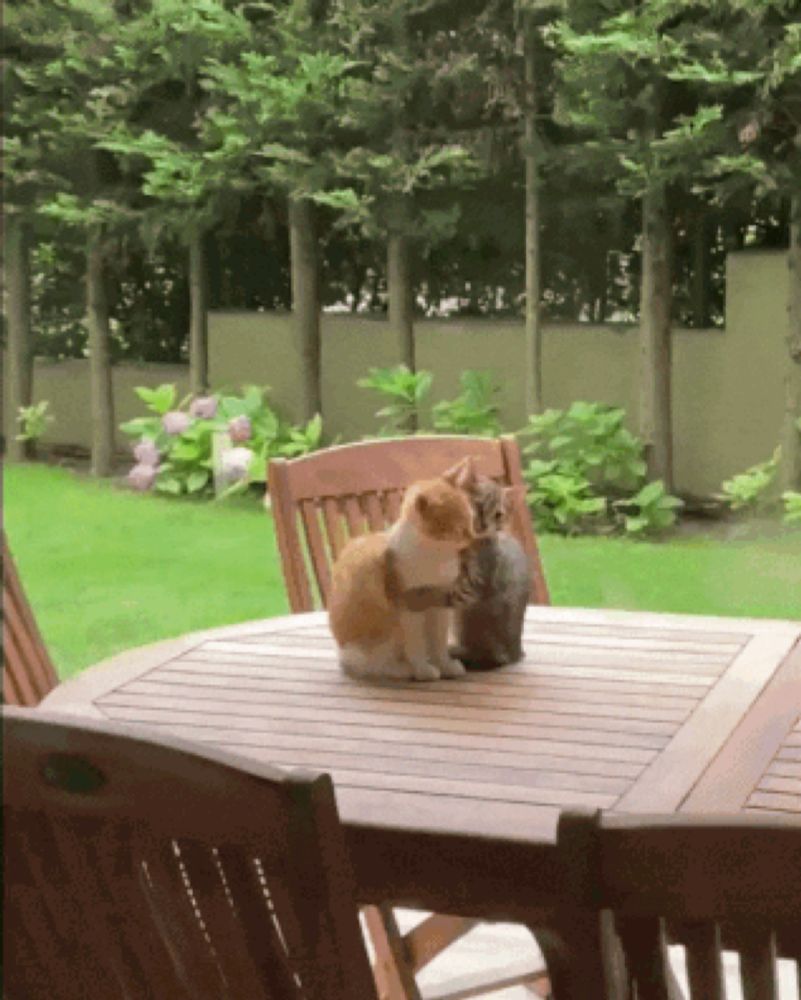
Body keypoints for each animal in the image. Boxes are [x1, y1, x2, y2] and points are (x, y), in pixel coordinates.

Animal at [330, 458, 478, 680]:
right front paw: (424, 670)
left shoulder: (440, 603)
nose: (473, 538)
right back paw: (404, 669)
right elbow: (416, 644)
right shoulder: (408, 608)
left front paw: (445, 665)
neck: (435, 556)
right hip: (381, 636)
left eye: (471, 520)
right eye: (458, 529)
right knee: (375, 665)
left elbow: (438, 641)